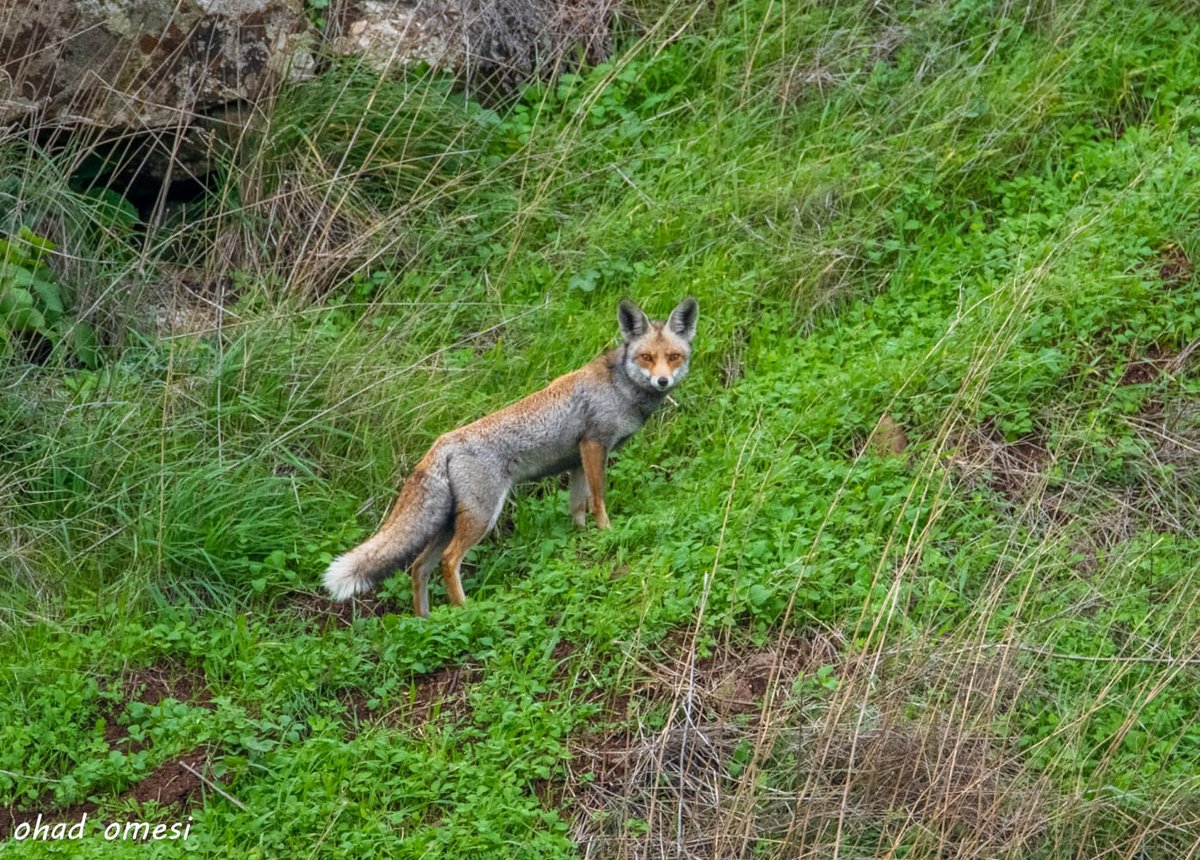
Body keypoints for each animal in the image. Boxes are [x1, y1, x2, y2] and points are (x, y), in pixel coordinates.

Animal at [324, 298, 700, 614]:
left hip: (449, 524)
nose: (663, 381)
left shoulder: (577, 460)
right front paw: (608, 533)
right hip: (482, 516)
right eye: (646, 358)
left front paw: (582, 541)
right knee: (448, 561)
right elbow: (599, 500)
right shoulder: (595, 445)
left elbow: (578, 507)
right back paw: (465, 610)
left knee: (418, 568)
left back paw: (425, 620)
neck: (619, 388)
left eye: (674, 357)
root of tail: (442, 442)